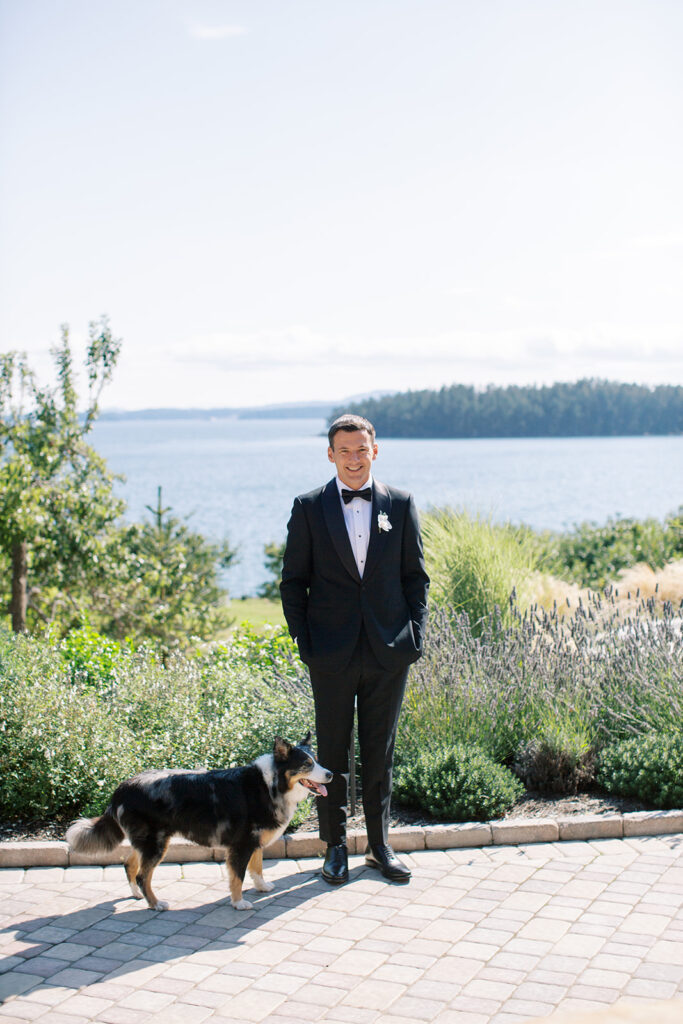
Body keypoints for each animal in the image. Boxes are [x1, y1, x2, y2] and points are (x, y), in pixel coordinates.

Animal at [66, 733, 332, 911]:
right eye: (306, 764)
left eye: (318, 760)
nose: (330, 774)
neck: (270, 784)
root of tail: (122, 788)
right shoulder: (241, 844)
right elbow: (238, 876)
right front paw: (238, 902)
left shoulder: (254, 841)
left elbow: (256, 867)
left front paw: (262, 887)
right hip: (156, 842)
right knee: (143, 874)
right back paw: (156, 903)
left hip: (147, 841)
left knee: (130, 864)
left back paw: (137, 894)